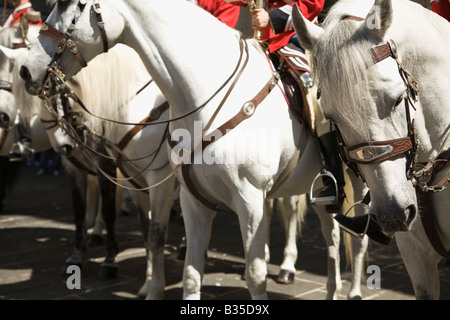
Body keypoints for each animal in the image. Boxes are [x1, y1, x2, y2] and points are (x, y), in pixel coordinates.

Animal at [19, 0, 368, 300]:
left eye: (72, 5)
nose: (26, 70)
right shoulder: (189, 197)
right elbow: (184, 265)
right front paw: (152, 285)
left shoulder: (246, 199)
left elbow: (253, 273)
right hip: (320, 189)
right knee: (332, 236)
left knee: (355, 236)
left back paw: (345, 287)